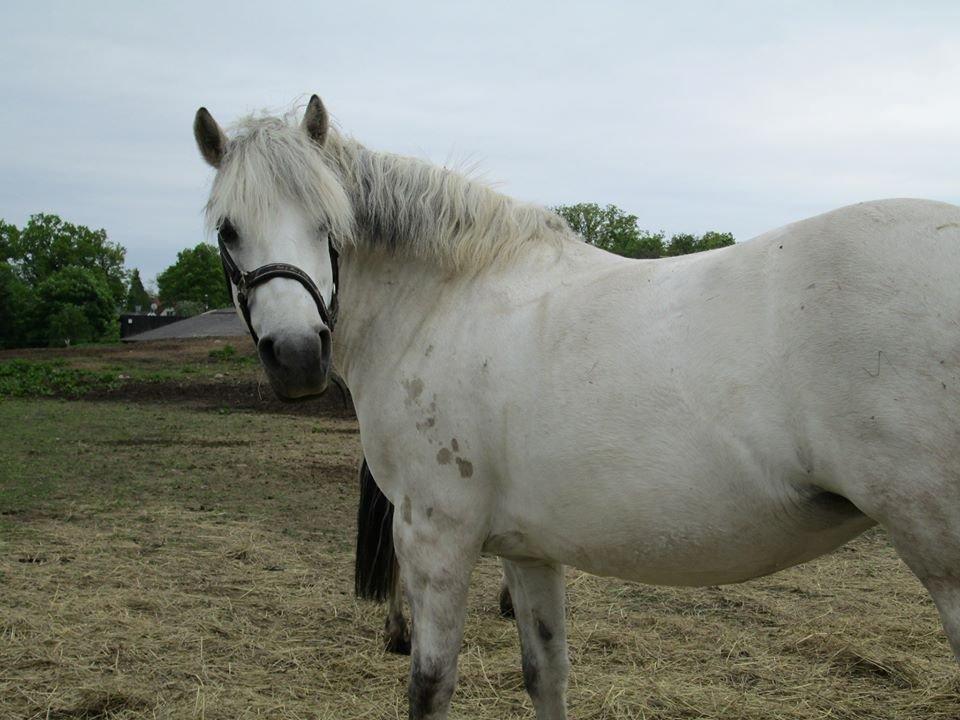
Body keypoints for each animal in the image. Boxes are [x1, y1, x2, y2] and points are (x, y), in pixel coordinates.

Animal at [193, 97, 960, 720]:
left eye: (329, 221)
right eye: (228, 230)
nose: (297, 356)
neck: (446, 301)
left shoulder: (435, 538)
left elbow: (430, 687)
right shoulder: (527, 550)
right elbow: (546, 674)